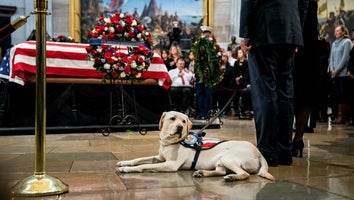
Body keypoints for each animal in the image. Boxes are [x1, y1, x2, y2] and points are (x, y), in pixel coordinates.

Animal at [117, 111, 276, 181]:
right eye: (172, 119)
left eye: (184, 121)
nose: (180, 127)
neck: (170, 142)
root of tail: (259, 153)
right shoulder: (160, 157)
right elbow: (139, 159)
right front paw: (124, 162)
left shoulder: (170, 164)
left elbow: (144, 166)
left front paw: (126, 169)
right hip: (221, 162)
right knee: (220, 172)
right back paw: (202, 173)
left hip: (228, 158)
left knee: (244, 174)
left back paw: (232, 177)